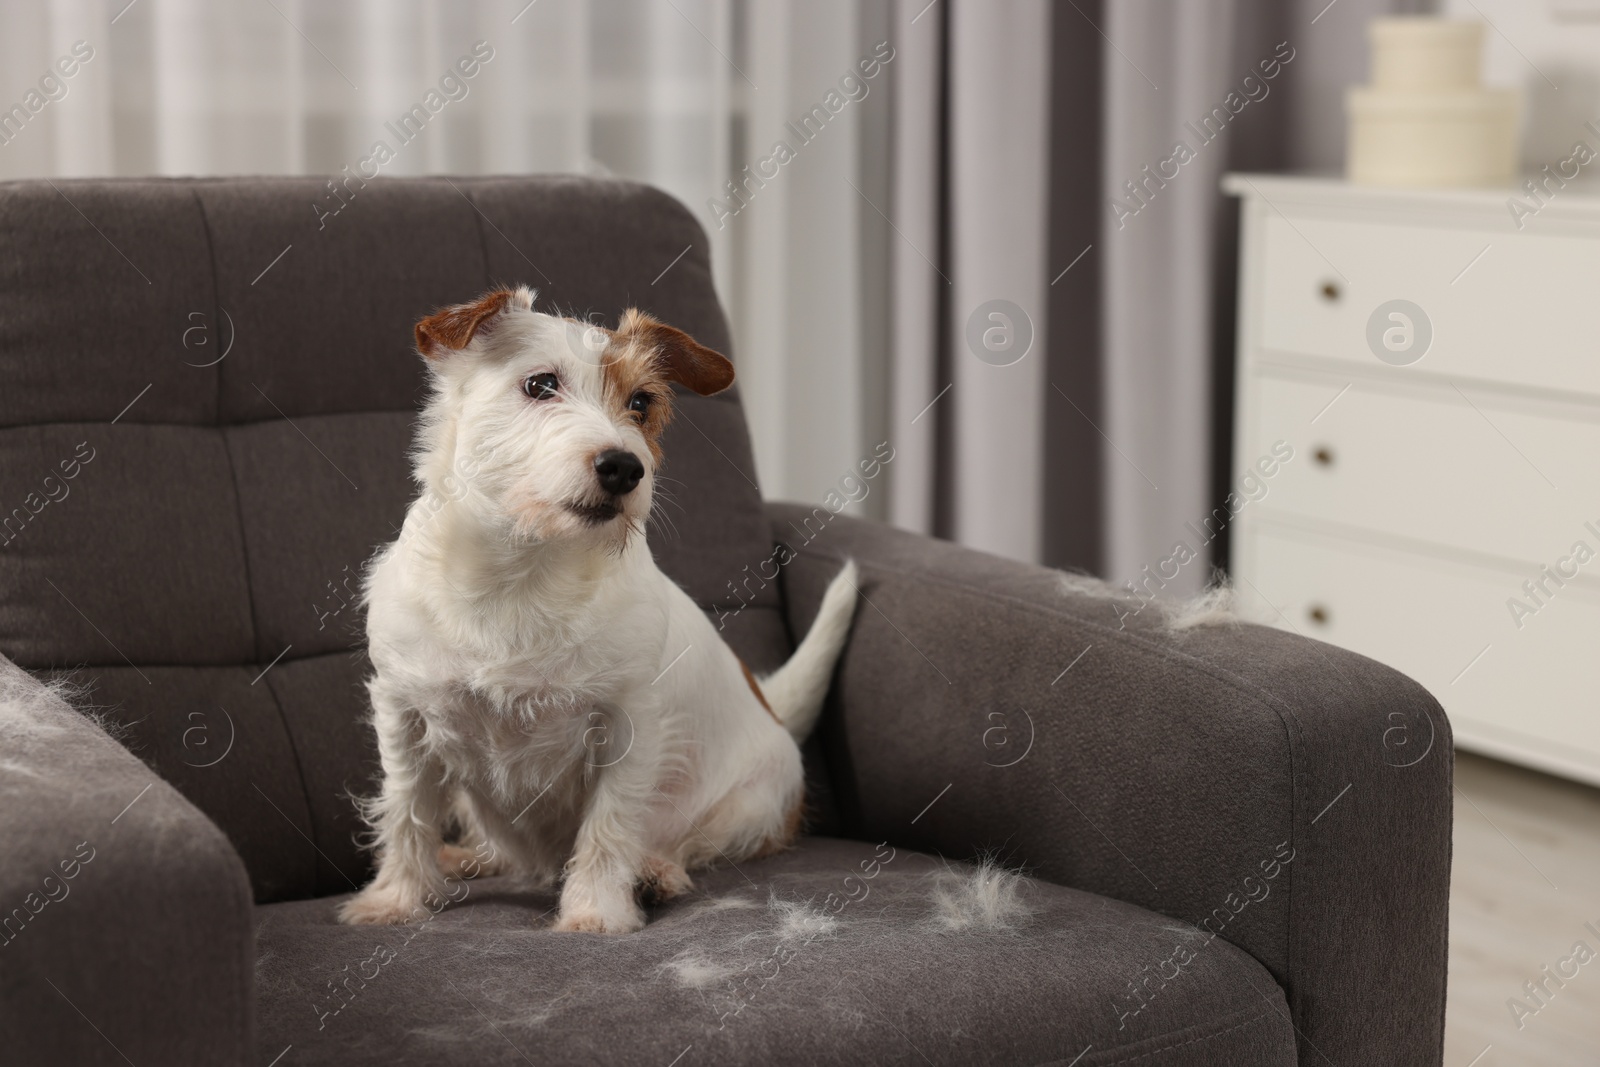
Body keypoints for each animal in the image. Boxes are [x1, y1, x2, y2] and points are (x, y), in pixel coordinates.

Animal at [339, 283, 864, 934]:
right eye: (540, 384)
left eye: (641, 402)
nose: (624, 467)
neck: (523, 573)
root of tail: (770, 706)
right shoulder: (404, 714)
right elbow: (406, 810)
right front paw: (395, 899)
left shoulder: (628, 726)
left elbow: (610, 825)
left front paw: (596, 912)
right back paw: (467, 858)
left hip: (750, 805)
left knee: (687, 842)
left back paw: (655, 873)